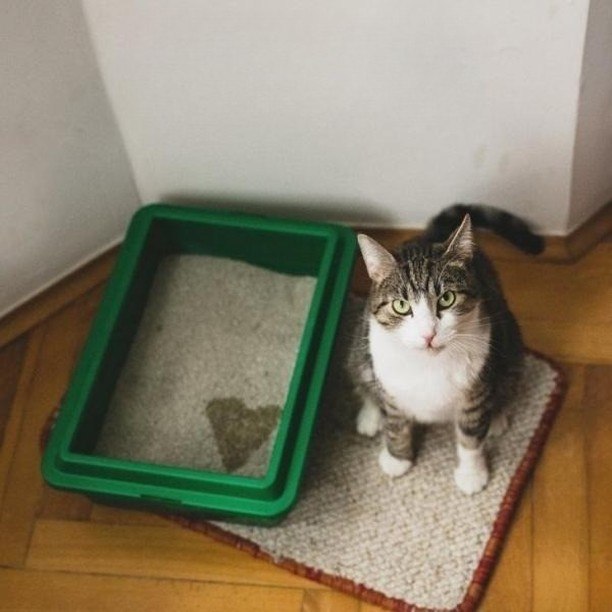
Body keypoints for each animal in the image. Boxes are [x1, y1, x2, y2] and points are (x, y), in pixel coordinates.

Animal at [352, 204, 543, 494]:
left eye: (447, 298)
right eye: (400, 306)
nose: (428, 334)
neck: (428, 364)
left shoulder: (476, 386)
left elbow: (470, 436)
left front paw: (472, 474)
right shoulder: (390, 381)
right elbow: (395, 422)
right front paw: (397, 459)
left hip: (511, 344)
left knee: (508, 380)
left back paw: (497, 416)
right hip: (360, 346)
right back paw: (370, 415)